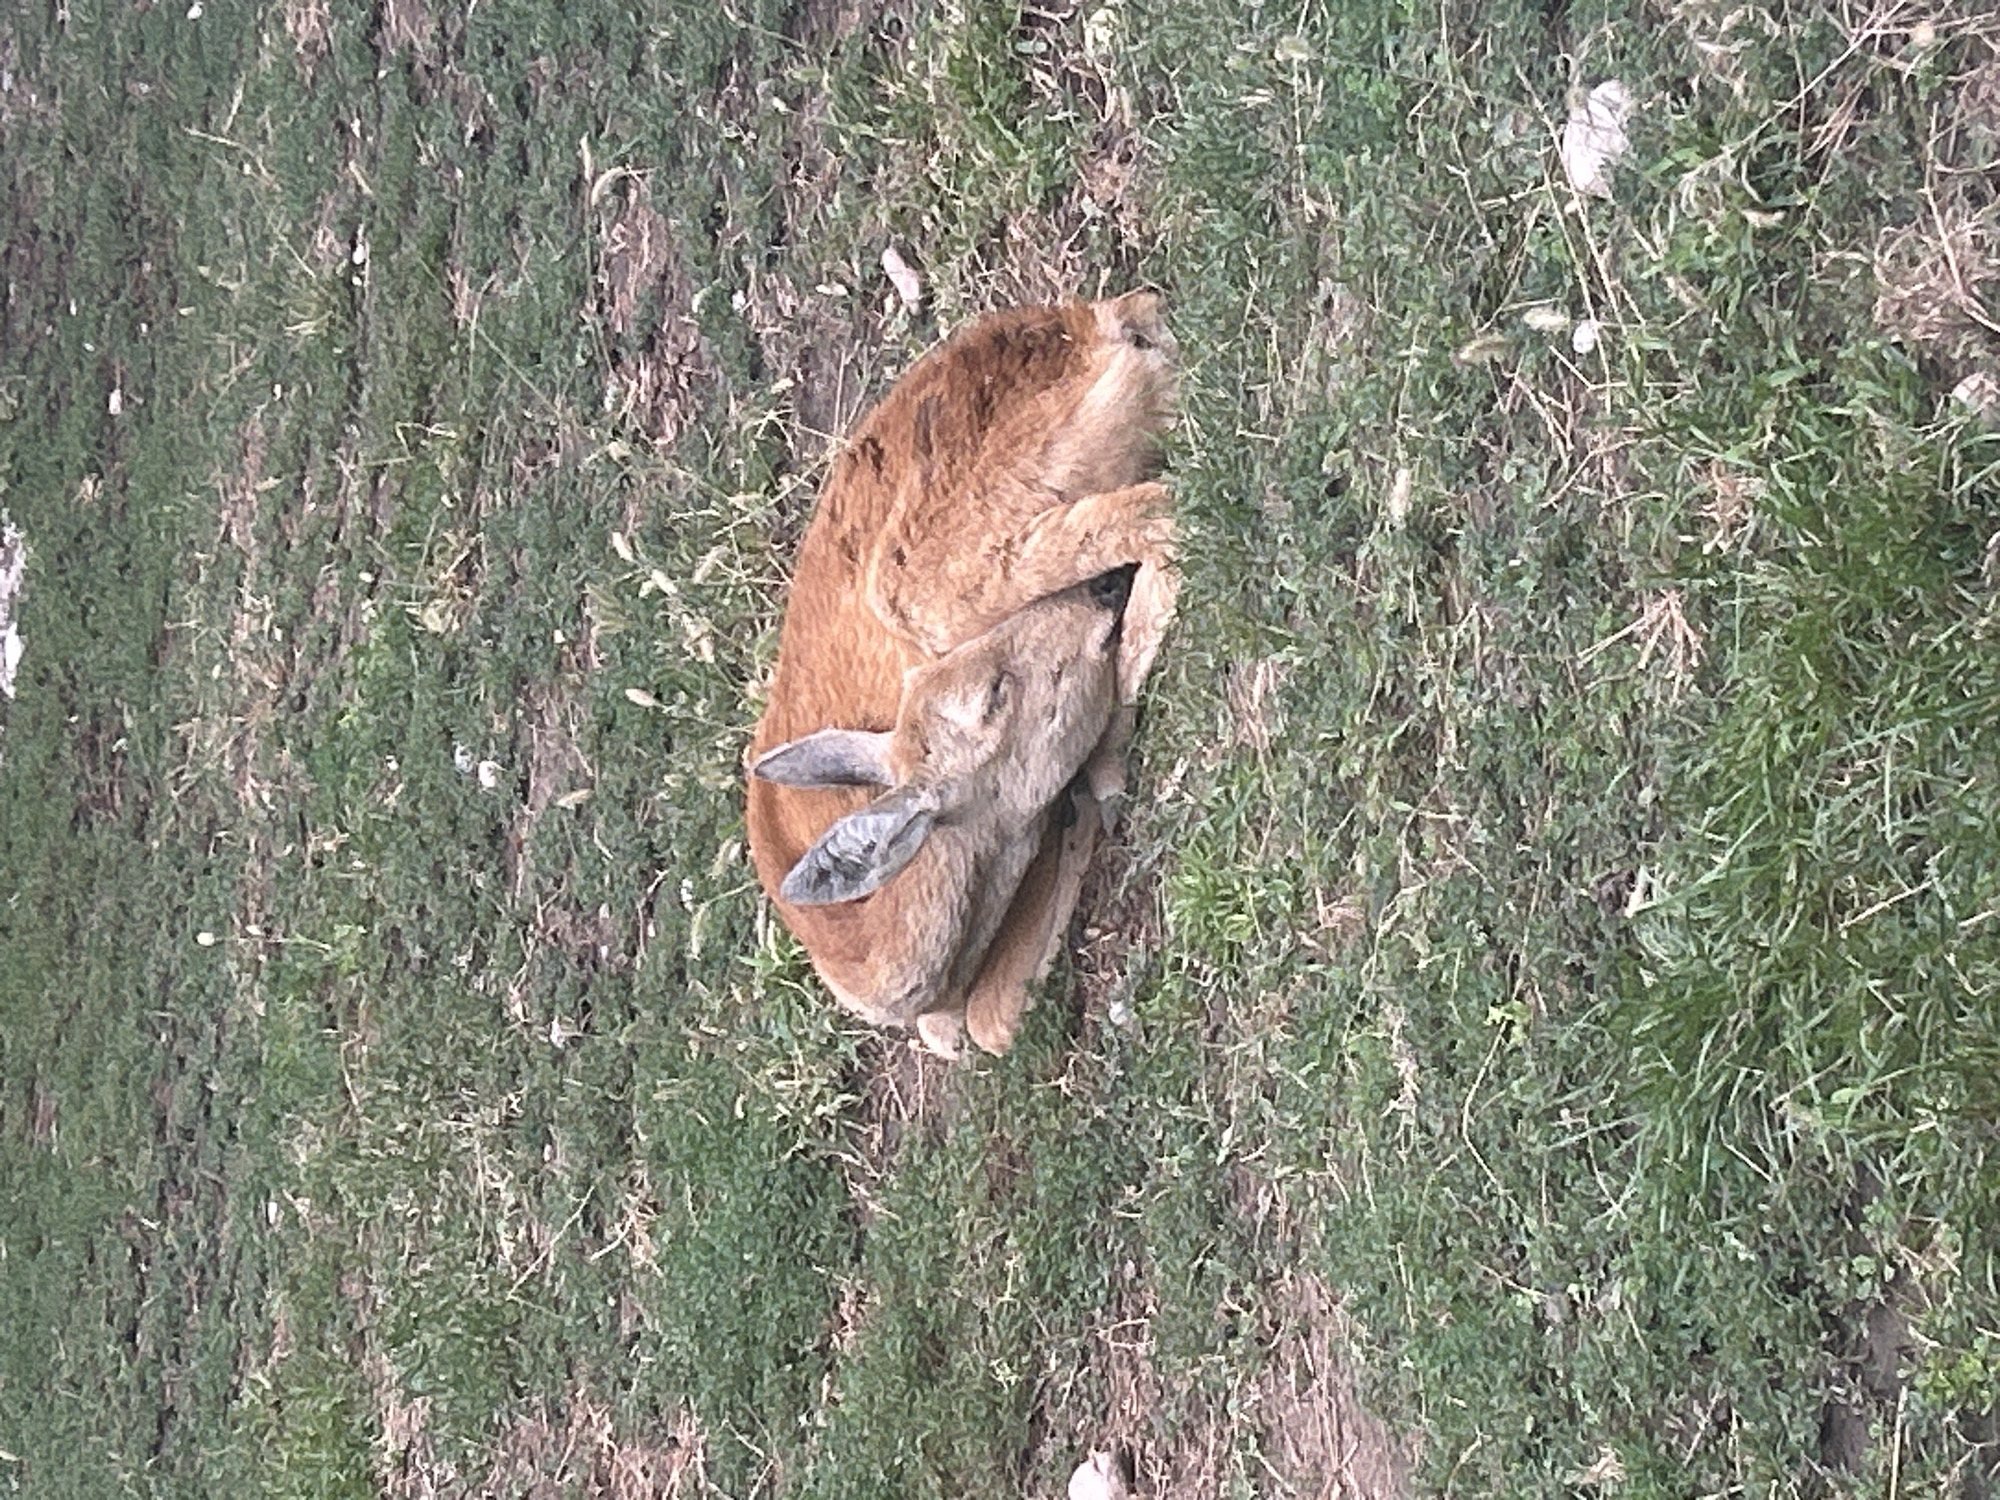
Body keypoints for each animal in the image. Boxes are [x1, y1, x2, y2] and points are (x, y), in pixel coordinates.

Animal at [745, 291, 1178, 1056]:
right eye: (995, 694)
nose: (1098, 599)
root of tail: (1093, 323)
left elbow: (990, 1024)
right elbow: (978, 1024)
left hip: (942, 574)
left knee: (1149, 516)